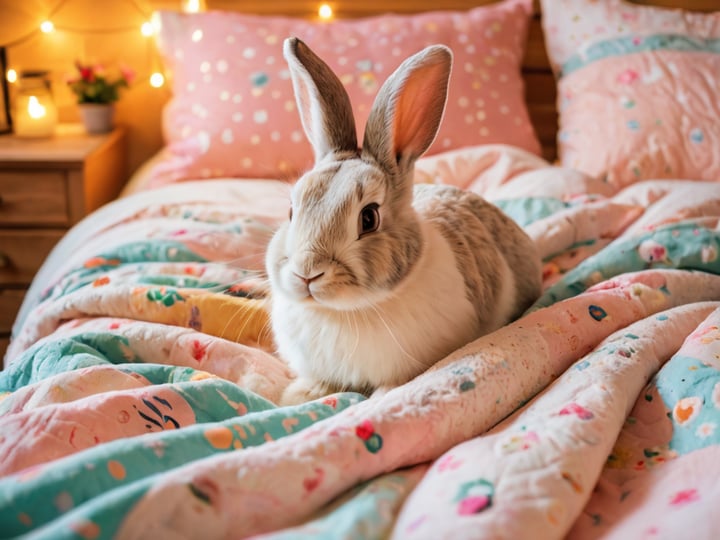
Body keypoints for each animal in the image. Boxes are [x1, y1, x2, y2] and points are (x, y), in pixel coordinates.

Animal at [265, 37, 542, 405]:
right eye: (292, 211)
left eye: (369, 218)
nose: (307, 273)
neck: (343, 310)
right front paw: (296, 397)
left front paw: (383, 397)